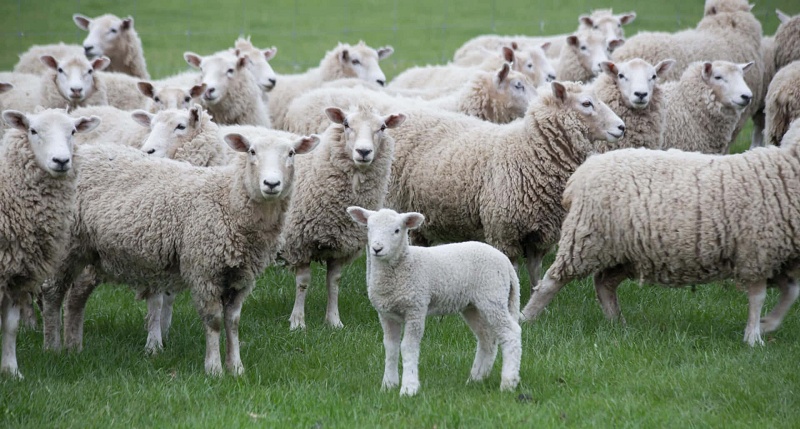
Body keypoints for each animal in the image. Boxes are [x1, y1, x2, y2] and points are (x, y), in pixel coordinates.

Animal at [0, 108, 100, 378]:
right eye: (33, 130)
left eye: (73, 131)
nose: (61, 161)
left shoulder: (16, 273)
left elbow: (10, 326)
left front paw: (12, 371)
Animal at [41, 129, 320, 375]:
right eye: (252, 151)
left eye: (291, 153)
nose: (271, 183)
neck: (228, 201)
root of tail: (85, 151)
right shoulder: (204, 269)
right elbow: (214, 321)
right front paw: (214, 369)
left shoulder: (241, 276)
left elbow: (233, 322)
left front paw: (236, 368)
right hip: (65, 247)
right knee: (53, 294)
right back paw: (52, 347)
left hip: (89, 252)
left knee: (76, 296)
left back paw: (74, 347)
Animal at [282, 105, 406, 330]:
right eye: (346, 124)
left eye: (382, 127)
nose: (364, 152)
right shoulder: (298, 242)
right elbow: (303, 283)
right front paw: (297, 322)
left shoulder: (340, 245)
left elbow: (334, 282)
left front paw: (333, 321)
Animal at [346, 207, 522, 396]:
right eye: (369, 228)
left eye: (397, 230)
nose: (377, 248)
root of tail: (505, 261)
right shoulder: (386, 314)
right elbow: (390, 348)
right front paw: (388, 385)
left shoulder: (416, 308)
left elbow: (408, 347)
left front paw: (409, 388)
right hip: (473, 306)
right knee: (487, 338)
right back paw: (476, 379)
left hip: (492, 295)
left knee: (511, 333)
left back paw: (508, 383)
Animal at [520, 119, 800, 347]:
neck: (787, 170)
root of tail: (583, 172)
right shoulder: (757, 251)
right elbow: (758, 298)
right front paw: (754, 337)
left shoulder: (781, 258)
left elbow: (791, 292)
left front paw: (768, 324)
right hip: (585, 238)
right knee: (551, 281)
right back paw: (527, 317)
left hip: (625, 251)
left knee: (604, 283)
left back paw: (617, 323)